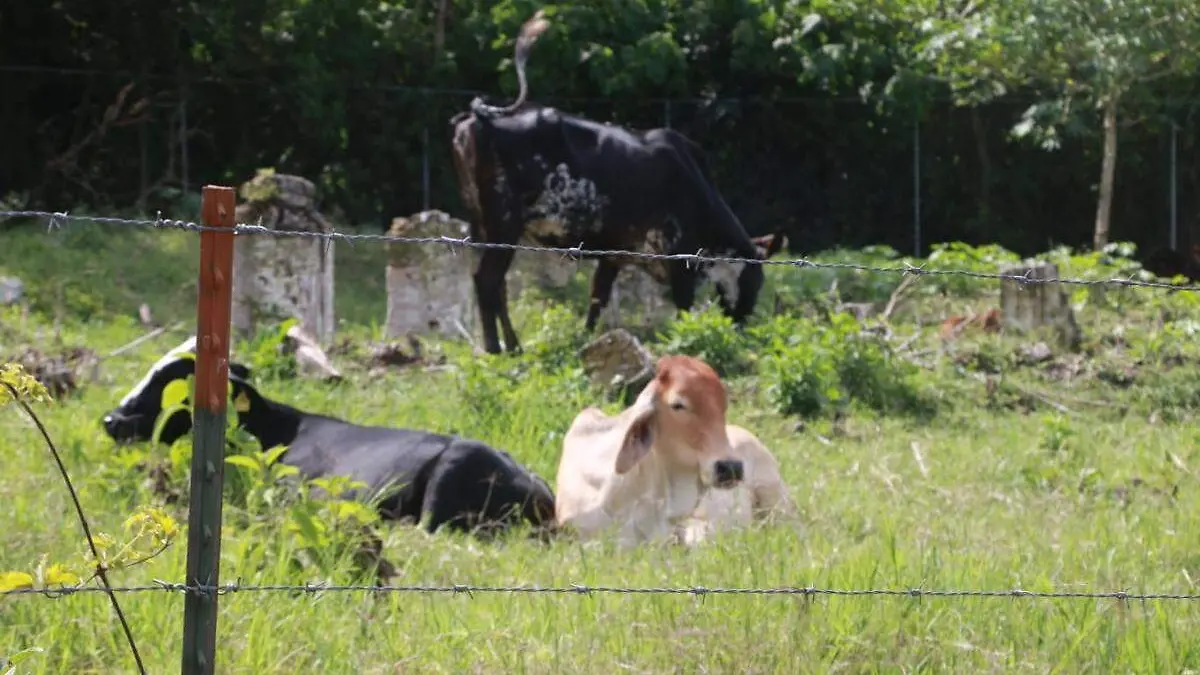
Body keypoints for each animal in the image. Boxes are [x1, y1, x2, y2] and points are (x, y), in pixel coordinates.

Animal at [451, 9, 787, 353]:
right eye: (757, 278)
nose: (744, 322)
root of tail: (478, 118)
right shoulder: (678, 252)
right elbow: (683, 305)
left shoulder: (615, 251)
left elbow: (597, 298)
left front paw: (589, 340)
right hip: (504, 221)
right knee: (487, 280)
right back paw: (496, 348)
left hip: (484, 224)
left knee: (498, 284)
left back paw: (512, 345)